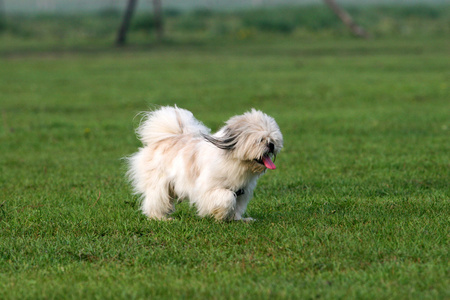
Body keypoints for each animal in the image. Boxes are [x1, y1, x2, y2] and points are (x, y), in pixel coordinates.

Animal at [125, 105, 284, 220]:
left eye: (273, 138)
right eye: (260, 140)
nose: (271, 145)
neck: (236, 161)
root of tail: (164, 138)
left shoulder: (242, 191)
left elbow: (237, 205)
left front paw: (237, 219)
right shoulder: (209, 188)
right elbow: (227, 199)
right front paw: (220, 215)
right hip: (158, 184)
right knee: (156, 200)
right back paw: (160, 218)